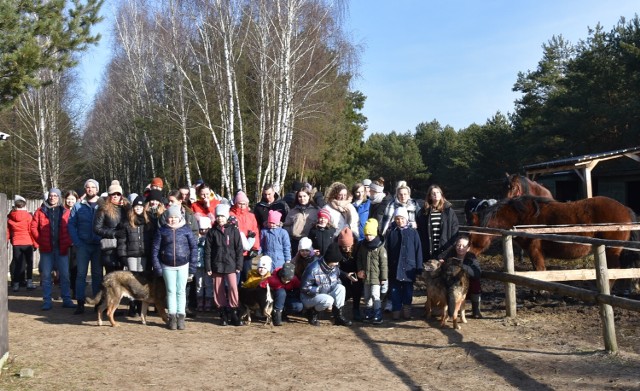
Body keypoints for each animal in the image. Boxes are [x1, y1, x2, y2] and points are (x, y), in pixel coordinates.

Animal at [468, 198, 636, 272]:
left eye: (471, 235)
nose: (469, 254)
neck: (524, 217)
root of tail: (625, 208)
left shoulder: (535, 251)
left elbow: (540, 271)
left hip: (612, 251)